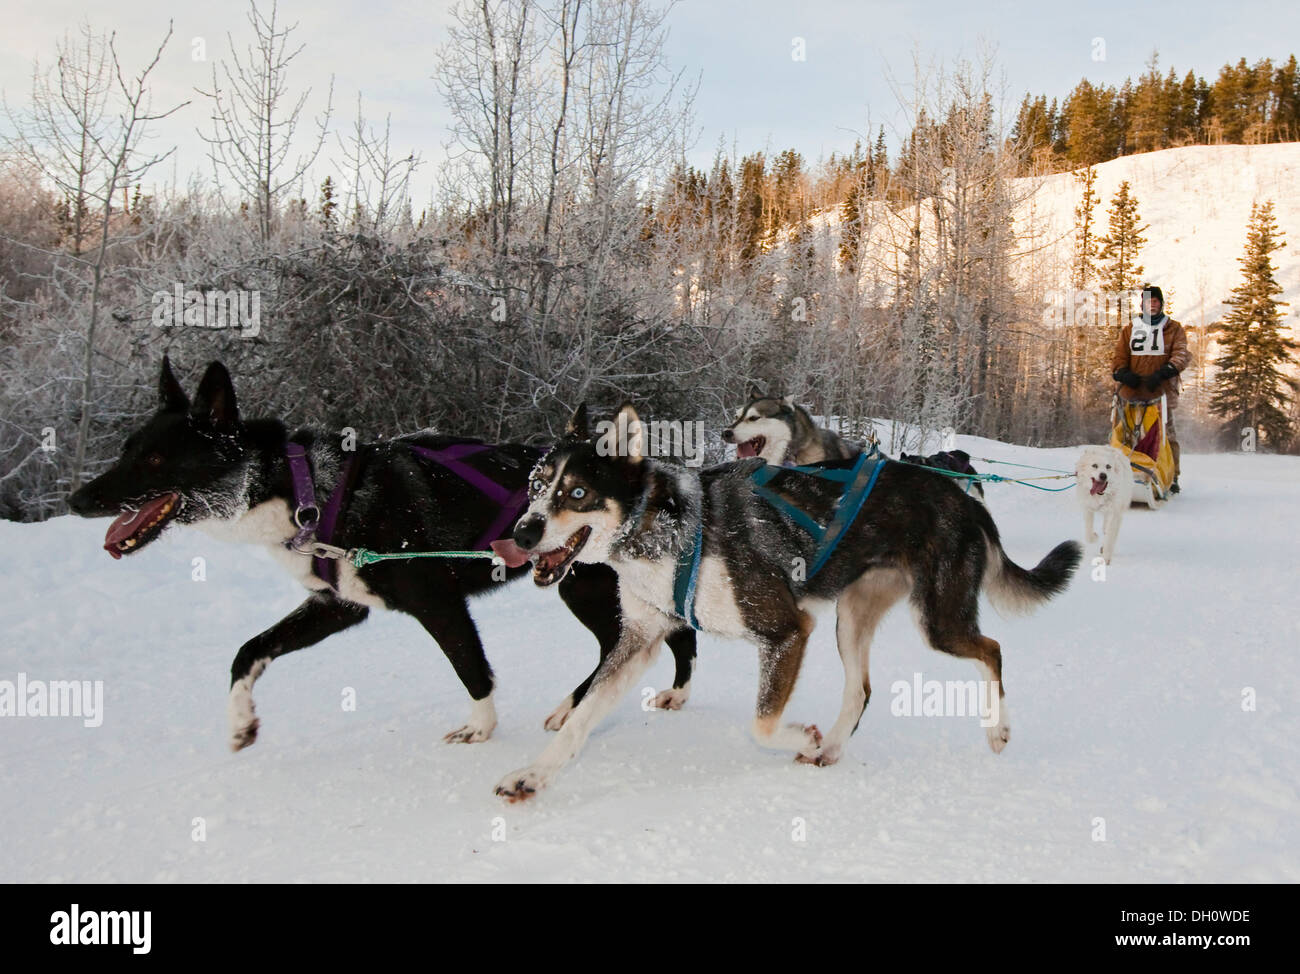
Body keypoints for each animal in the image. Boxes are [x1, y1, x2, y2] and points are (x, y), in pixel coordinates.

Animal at [68, 361, 702, 749]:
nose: (78, 499)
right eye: (127, 449)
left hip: (582, 584)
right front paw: (241, 721)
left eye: (156, 458)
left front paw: (480, 727)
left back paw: (592, 703)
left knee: (642, 637)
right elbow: (247, 652)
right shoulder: (339, 604)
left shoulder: (438, 601)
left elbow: (472, 668)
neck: (306, 491)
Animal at [488, 400, 1076, 795]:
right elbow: (581, 719)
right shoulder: (639, 640)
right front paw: (533, 775)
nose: (522, 532)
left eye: (577, 493)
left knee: (992, 650)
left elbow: (763, 723)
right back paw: (832, 747)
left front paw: (801, 737)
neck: (668, 532)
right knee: (861, 691)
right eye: (536, 486)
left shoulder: (787, 631)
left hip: (937, 621)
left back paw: (996, 729)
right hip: (850, 619)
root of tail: (962, 496)